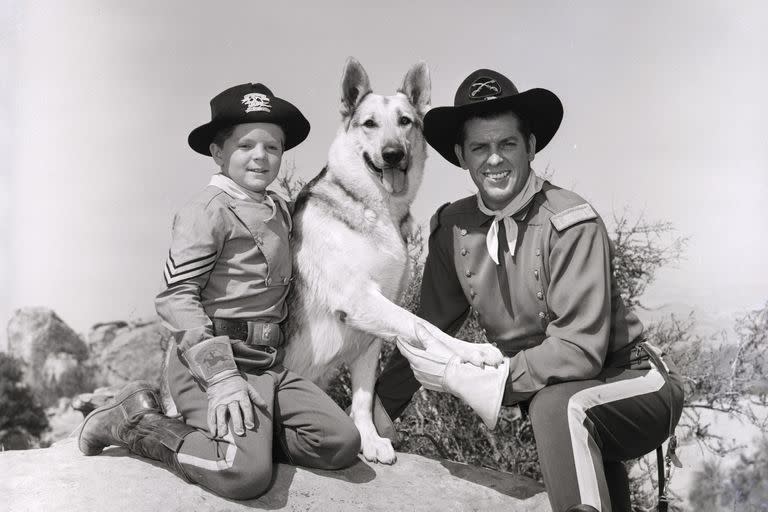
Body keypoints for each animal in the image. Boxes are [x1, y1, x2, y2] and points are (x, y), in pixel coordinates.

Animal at [282, 59, 504, 464]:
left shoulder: (369, 332)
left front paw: (369, 440)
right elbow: (425, 326)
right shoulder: (360, 300)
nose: (392, 155)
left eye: (405, 122)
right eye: (369, 123)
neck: (377, 209)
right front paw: (475, 352)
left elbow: (364, 398)